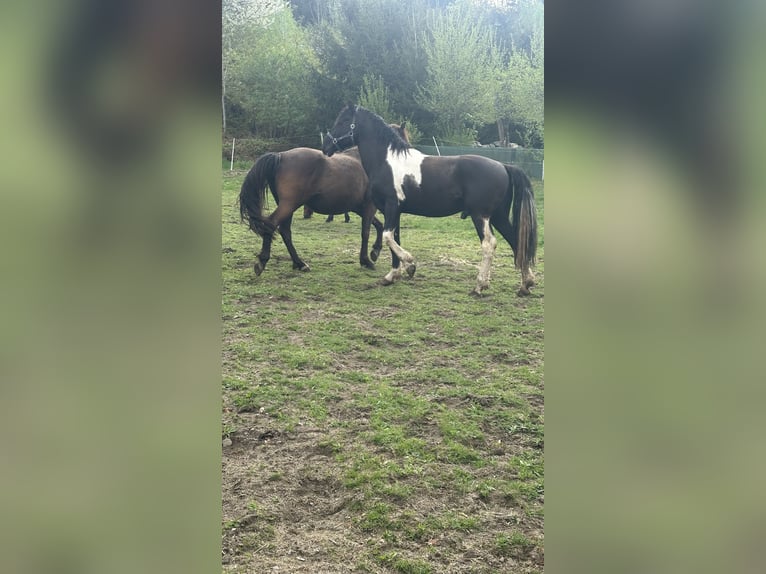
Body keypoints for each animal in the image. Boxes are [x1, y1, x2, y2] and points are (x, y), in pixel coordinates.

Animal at [239, 123, 409, 276]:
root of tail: (281, 156)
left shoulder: (359, 208)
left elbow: (378, 226)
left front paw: (375, 251)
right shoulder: (369, 206)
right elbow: (366, 232)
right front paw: (366, 260)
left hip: (288, 206)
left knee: (285, 231)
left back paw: (299, 263)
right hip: (289, 205)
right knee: (272, 224)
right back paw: (263, 261)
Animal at [323, 105, 537, 296]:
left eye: (343, 121)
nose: (326, 147)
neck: (387, 162)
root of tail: (503, 166)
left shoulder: (391, 207)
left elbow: (387, 236)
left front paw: (410, 264)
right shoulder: (395, 211)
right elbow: (395, 238)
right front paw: (393, 275)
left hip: (481, 216)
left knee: (489, 244)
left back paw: (479, 286)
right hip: (498, 216)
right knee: (515, 240)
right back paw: (525, 284)